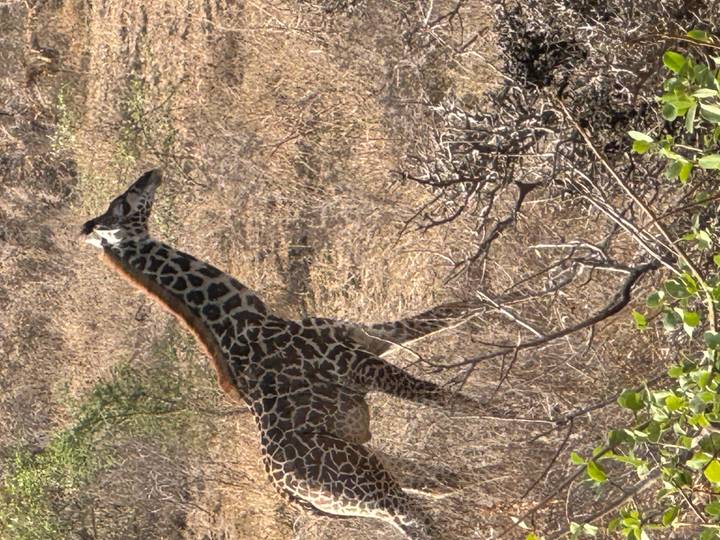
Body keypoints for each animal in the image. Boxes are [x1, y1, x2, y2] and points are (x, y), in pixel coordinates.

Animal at [81, 170, 479, 539]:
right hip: (362, 483)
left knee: (435, 490)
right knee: (413, 516)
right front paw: (498, 413)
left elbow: (451, 311)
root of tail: (290, 493)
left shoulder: (362, 340)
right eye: (124, 203)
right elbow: (443, 397)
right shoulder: (356, 364)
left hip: (364, 471)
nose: (151, 175)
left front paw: (492, 296)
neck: (252, 321)